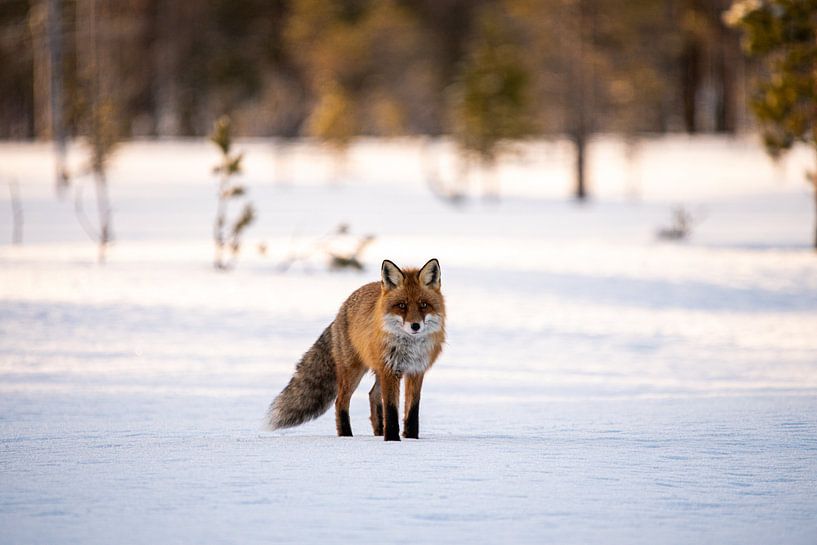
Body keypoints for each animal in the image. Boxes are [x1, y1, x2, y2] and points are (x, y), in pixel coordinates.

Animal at [265, 258, 445, 441]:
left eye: (424, 305)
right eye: (402, 305)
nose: (415, 326)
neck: (410, 347)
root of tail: (340, 311)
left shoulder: (416, 370)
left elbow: (412, 410)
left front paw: (411, 438)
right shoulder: (390, 370)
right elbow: (391, 409)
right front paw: (392, 439)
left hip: (377, 371)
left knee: (372, 395)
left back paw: (378, 431)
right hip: (353, 371)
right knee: (340, 401)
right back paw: (346, 435)